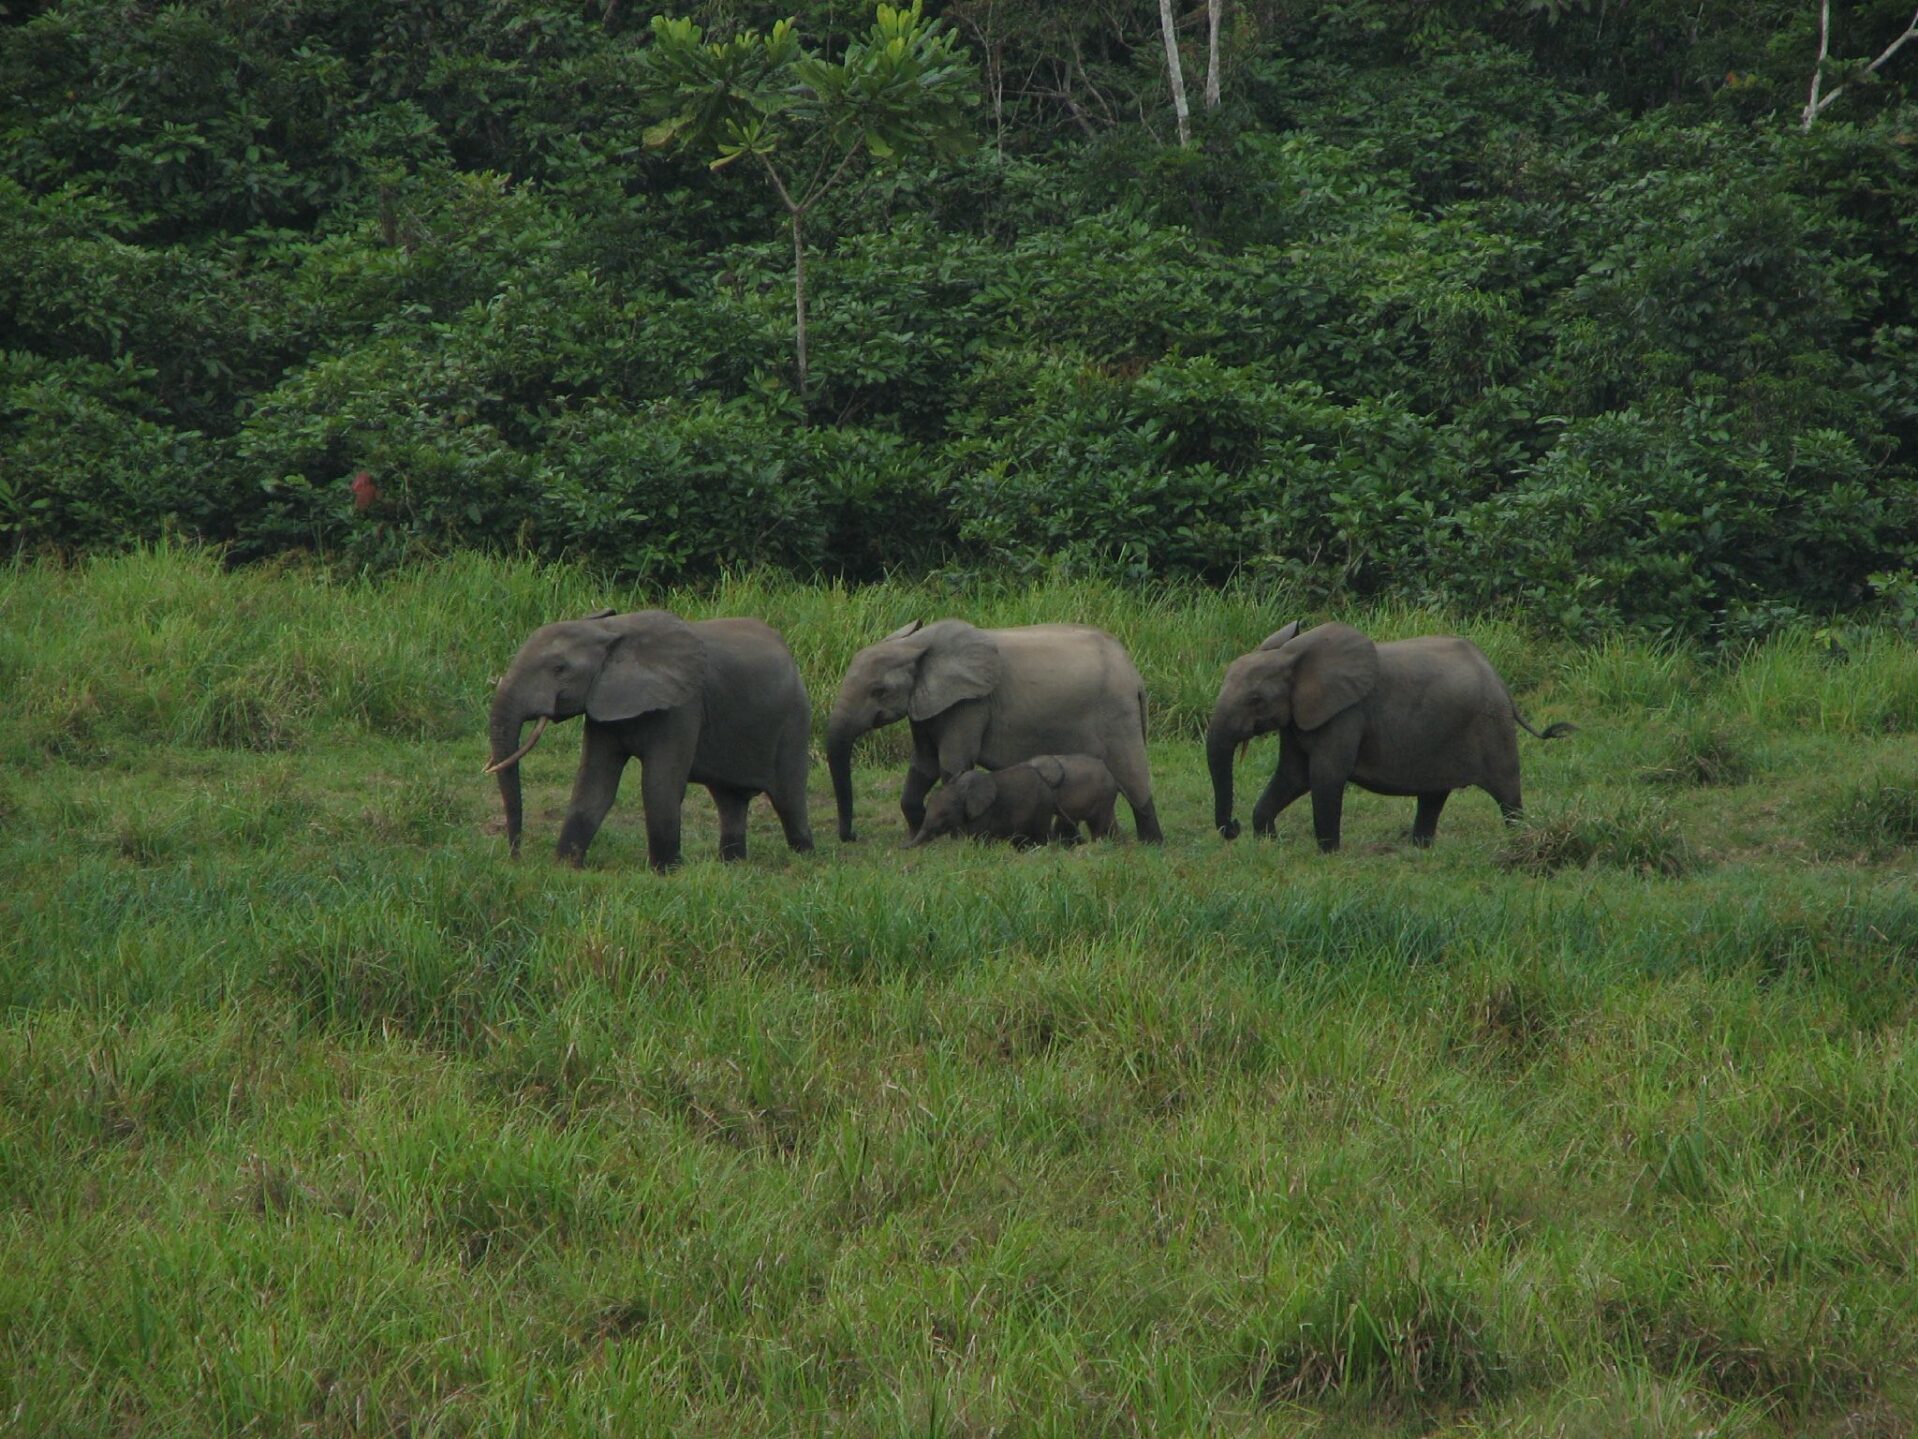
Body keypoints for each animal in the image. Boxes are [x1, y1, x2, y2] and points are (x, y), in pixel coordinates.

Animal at [483, 606, 813, 874]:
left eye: (559, 669)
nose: (516, 857)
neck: (612, 631)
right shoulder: (602, 703)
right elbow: (593, 786)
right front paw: (565, 867)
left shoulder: (683, 705)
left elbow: (659, 785)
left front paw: (666, 873)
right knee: (728, 800)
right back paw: (731, 866)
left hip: (795, 719)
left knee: (788, 799)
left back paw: (803, 859)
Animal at [820, 621, 1158, 844]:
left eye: (879, 691)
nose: (852, 836)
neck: (916, 644)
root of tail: (1134, 675)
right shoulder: (927, 704)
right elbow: (923, 765)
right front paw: (915, 835)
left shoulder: (969, 704)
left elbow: (951, 765)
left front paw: (953, 840)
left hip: (1116, 713)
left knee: (1133, 775)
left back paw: (1151, 843)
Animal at [1212, 621, 1572, 855]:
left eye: (1255, 700)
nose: (1233, 828)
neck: (1291, 656)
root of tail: (1499, 681)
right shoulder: (1300, 717)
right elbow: (1292, 774)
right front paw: (1268, 842)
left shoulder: (1347, 713)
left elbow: (1325, 775)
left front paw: (1328, 854)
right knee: (1433, 796)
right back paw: (1419, 850)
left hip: (1492, 727)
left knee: (1507, 793)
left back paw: (1519, 844)